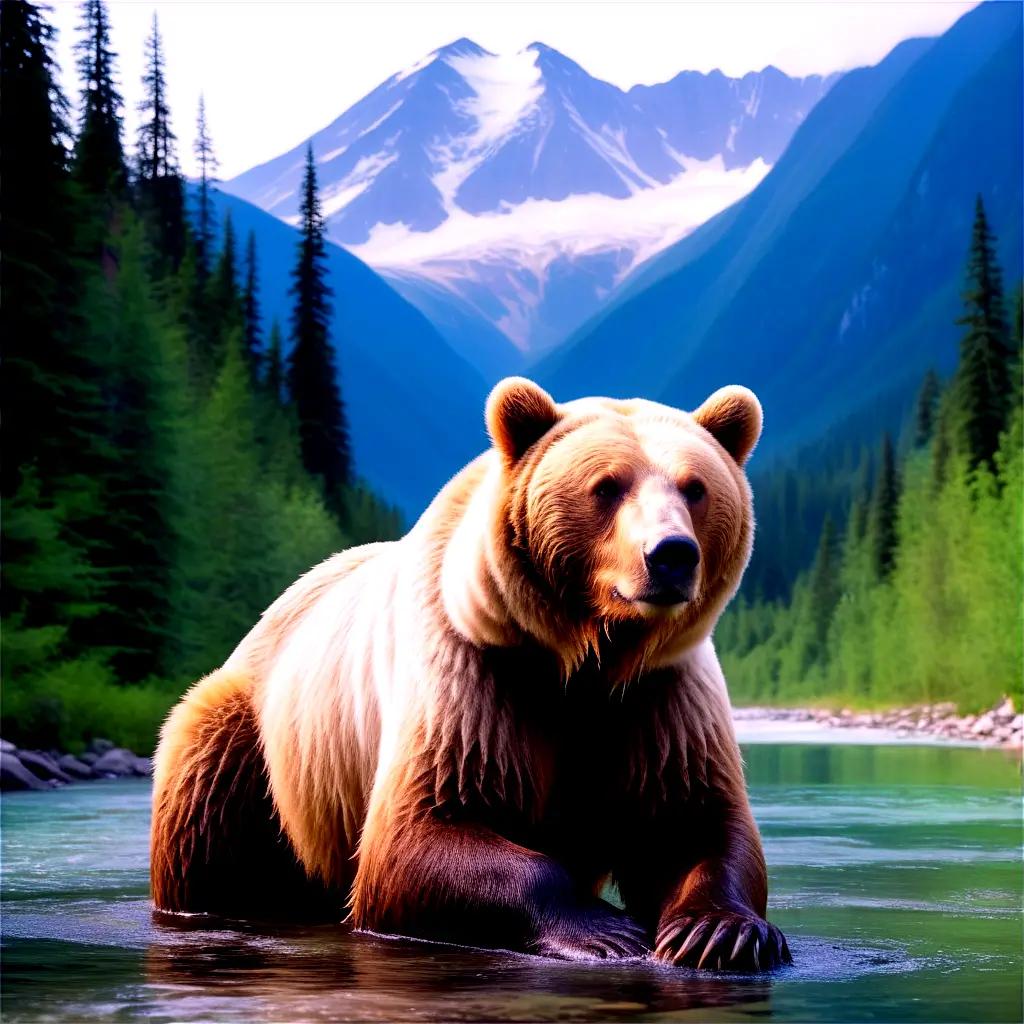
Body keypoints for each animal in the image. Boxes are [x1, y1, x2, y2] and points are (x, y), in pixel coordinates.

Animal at [151, 380, 790, 970]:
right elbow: (419, 833)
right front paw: (607, 930)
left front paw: (720, 932)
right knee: (206, 814)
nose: (671, 553)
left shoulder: (661, 694)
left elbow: (696, 822)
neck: (585, 656)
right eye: (607, 485)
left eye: (694, 487)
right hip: (256, 738)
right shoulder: (471, 674)